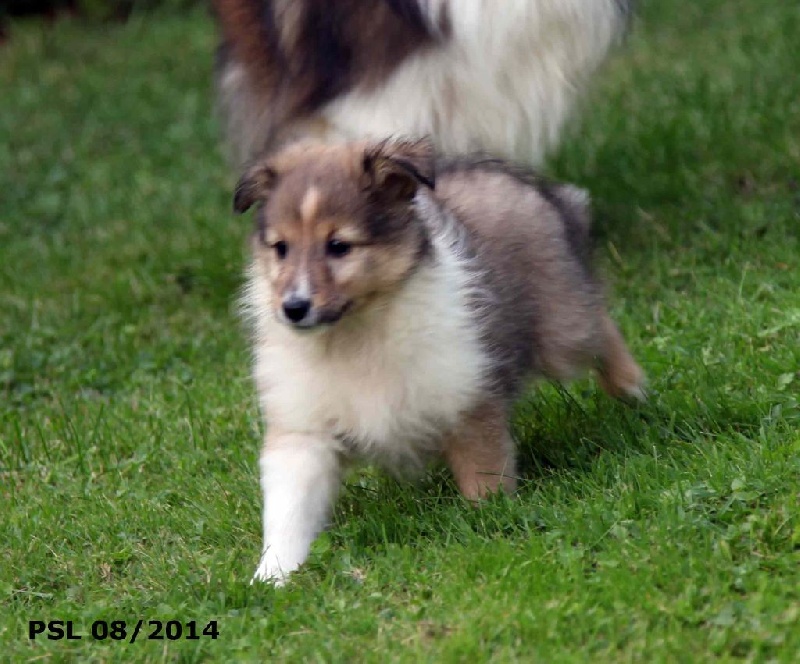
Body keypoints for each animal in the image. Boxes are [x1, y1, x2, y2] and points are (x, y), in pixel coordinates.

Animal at [234, 138, 645, 584]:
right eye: (281, 248)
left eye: (339, 246)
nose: (293, 308)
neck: (354, 333)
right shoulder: (303, 431)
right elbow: (288, 510)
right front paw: (271, 576)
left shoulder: (466, 397)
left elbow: (484, 476)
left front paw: (492, 525)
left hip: (562, 328)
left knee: (597, 323)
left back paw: (632, 387)